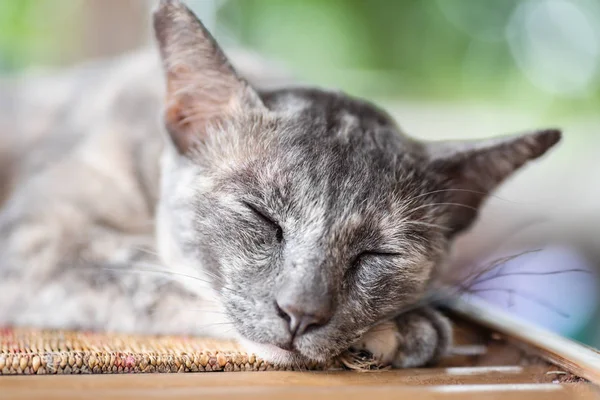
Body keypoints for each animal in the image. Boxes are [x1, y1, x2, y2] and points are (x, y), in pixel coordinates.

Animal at [0, 0, 564, 368]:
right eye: (261, 216)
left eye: (377, 254)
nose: (301, 314)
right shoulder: (35, 242)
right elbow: (153, 278)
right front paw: (409, 328)